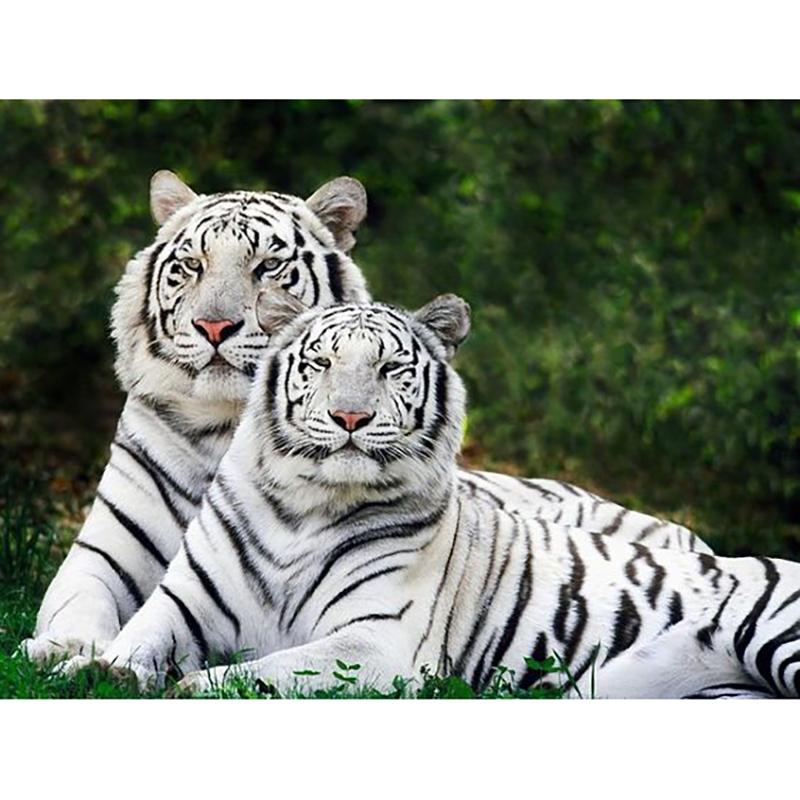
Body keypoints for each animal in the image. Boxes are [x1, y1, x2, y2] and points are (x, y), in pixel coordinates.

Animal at [21, 172, 711, 666]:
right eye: (191, 265)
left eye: (267, 267)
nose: (215, 326)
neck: (225, 427)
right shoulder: (102, 554)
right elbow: (76, 603)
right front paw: (62, 649)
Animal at [63, 289, 797, 699]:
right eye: (321, 363)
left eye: (390, 368)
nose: (350, 418)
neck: (304, 507)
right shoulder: (184, 603)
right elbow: (135, 639)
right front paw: (94, 670)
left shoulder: (378, 641)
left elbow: (273, 668)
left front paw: (194, 685)